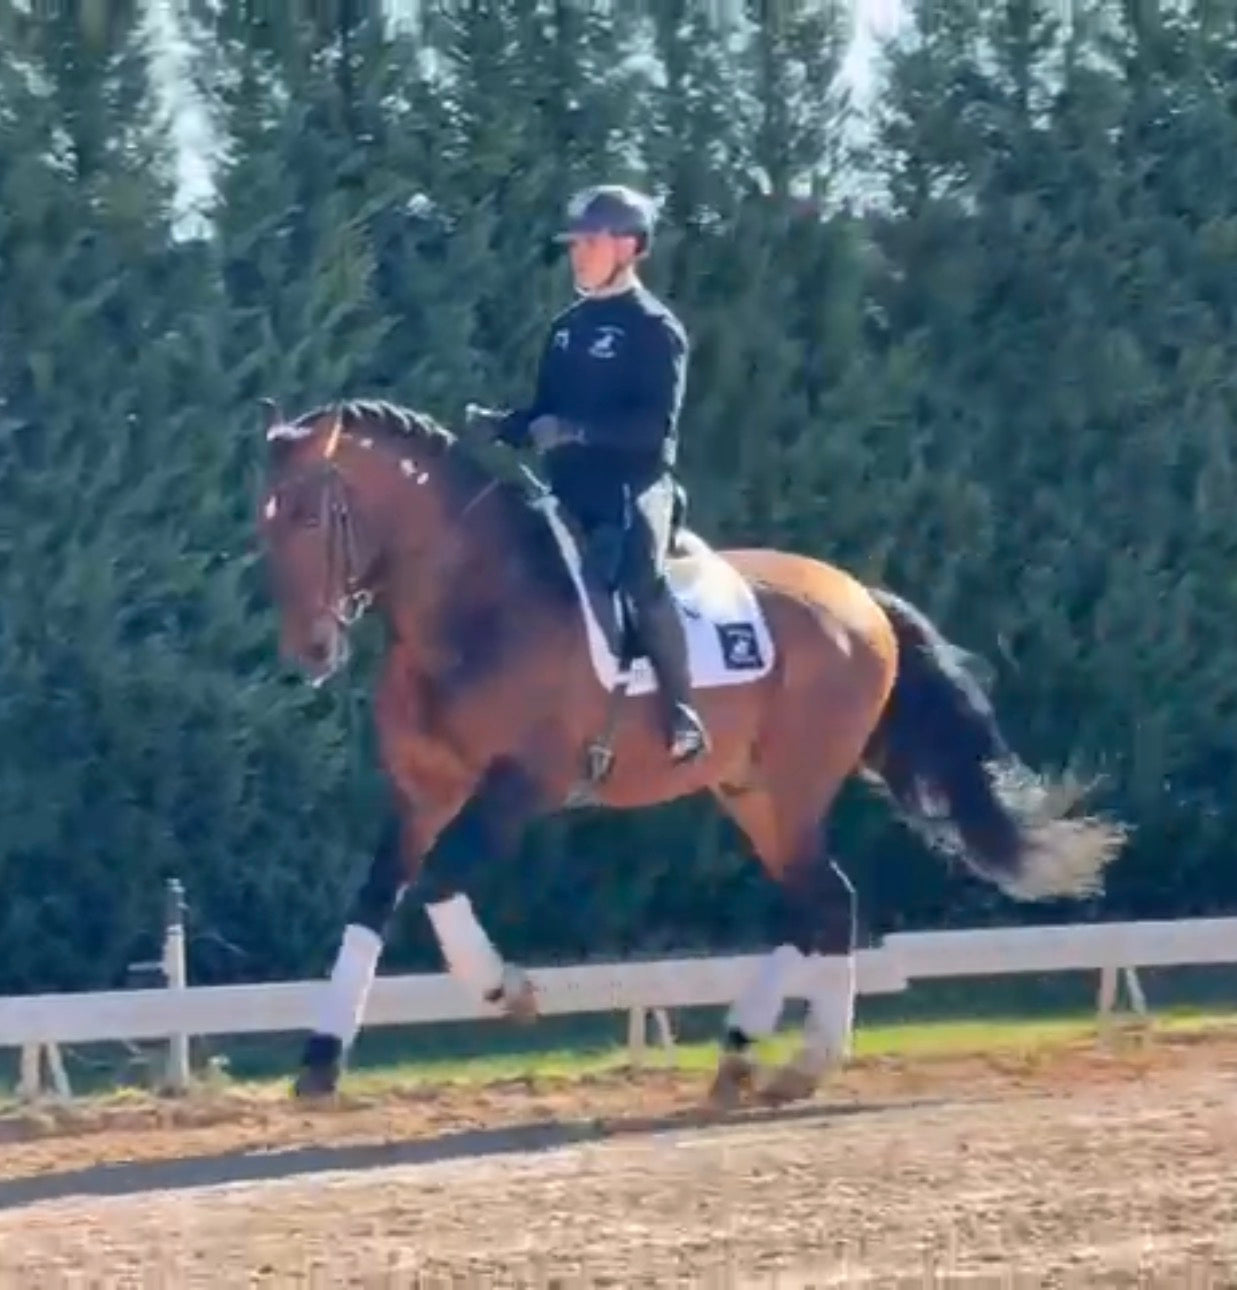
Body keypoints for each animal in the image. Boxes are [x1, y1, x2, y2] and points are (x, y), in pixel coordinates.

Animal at [255, 396, 1128, 1107]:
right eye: (263, 523)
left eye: (308, 517)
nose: (310, 650)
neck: (473, 604)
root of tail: (860, 597)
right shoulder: (421, 791)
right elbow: (374, 900)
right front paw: (321, 1060)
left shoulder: (524, 782)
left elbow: (438, 885)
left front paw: (507, 991)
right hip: (752, 792)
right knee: (818, 900)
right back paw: (747, 1052)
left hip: (792, 784)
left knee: (825, 900)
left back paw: (801, 1061)